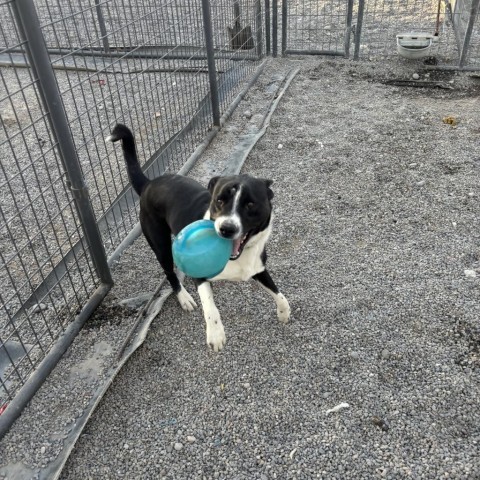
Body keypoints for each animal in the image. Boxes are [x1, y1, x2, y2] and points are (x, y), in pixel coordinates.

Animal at [107, 123, 290, 348]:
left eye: (250, 204)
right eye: (219, 200)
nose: (226, 228)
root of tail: (149, 183)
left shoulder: (257, 268)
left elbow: (278, 292)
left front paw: (283, 312)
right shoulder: (199, 274)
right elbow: (209, 305)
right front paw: (215, 334)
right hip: (160, 244)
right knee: (170, 273)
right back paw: (184, 298)